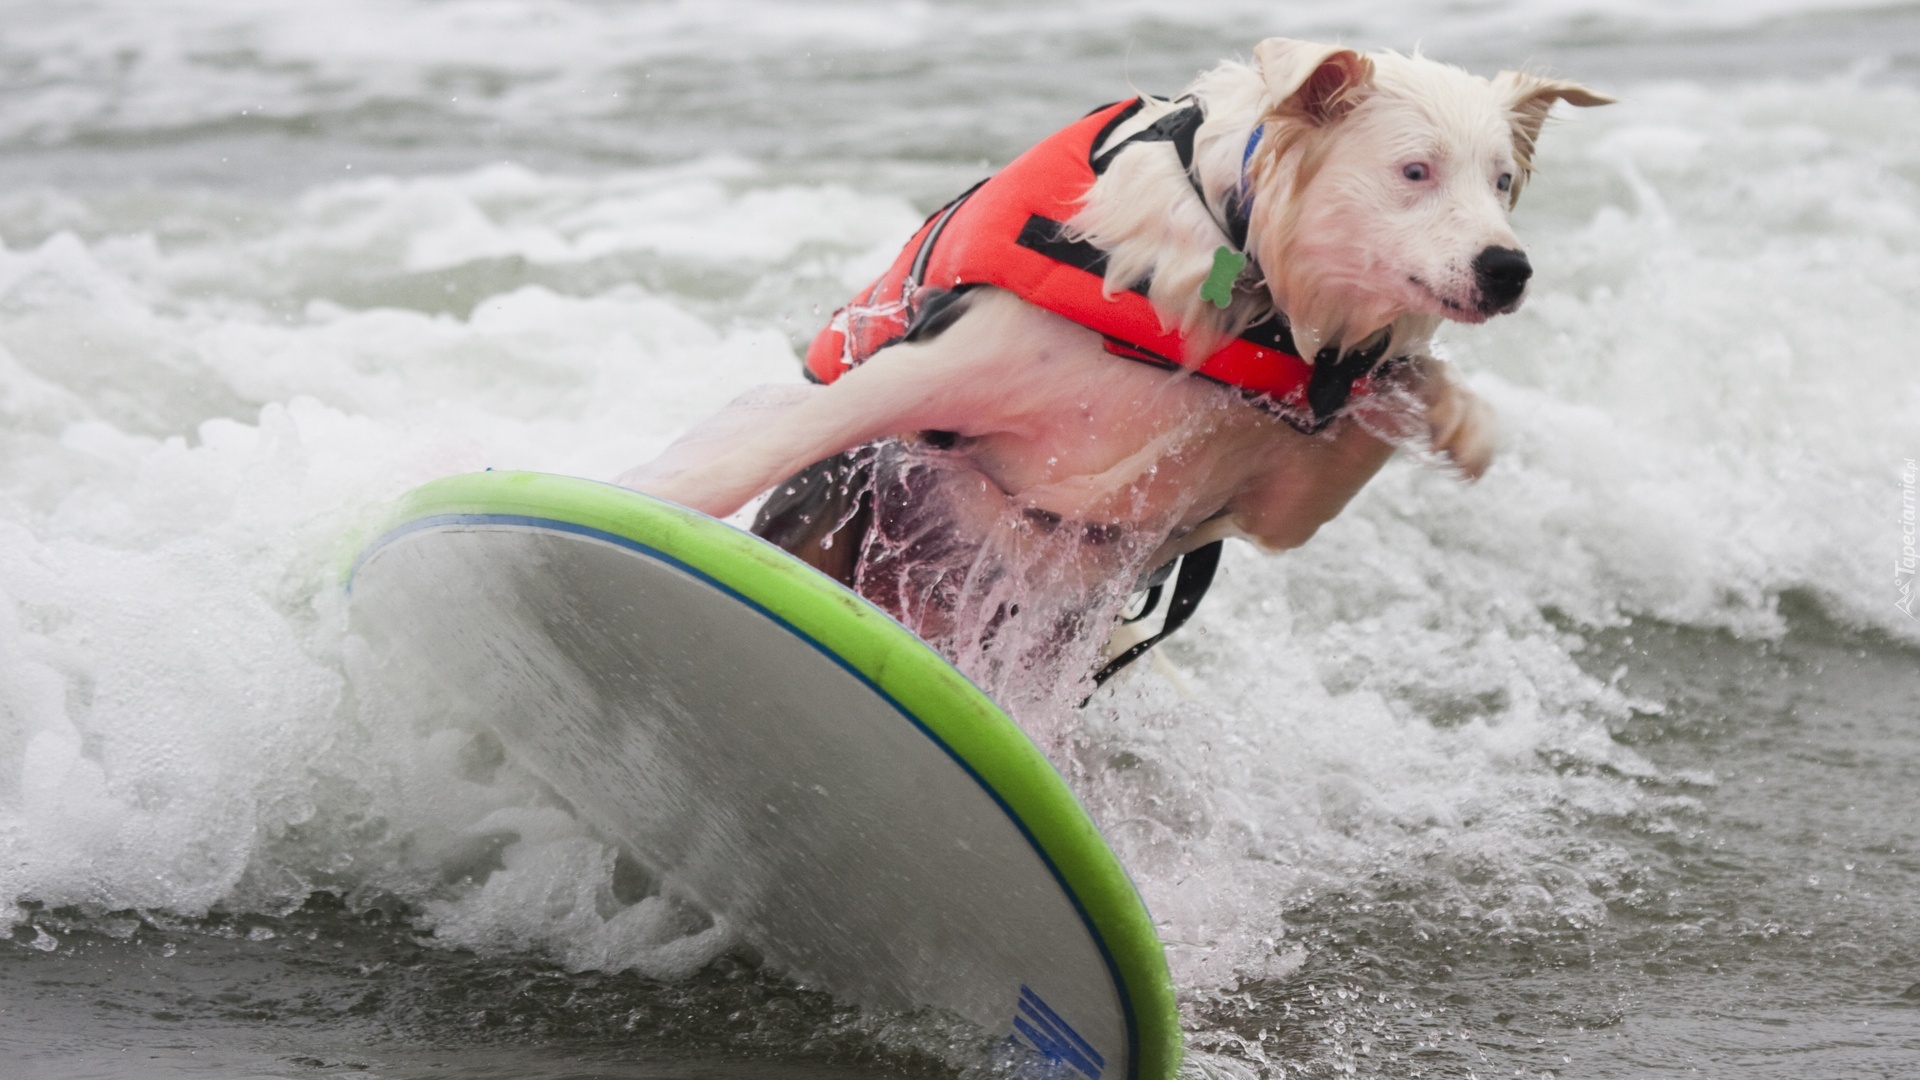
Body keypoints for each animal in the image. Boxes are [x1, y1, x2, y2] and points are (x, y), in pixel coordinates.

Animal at [629, 33, 1605, 703]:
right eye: (1414, 171)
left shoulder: (1282, 494)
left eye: (1503, 181)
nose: (1507, 270)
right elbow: (741, 454)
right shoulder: (939, 366)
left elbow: (1377, 403)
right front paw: (639, 499)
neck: (1250, 287)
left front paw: (1452, 411)